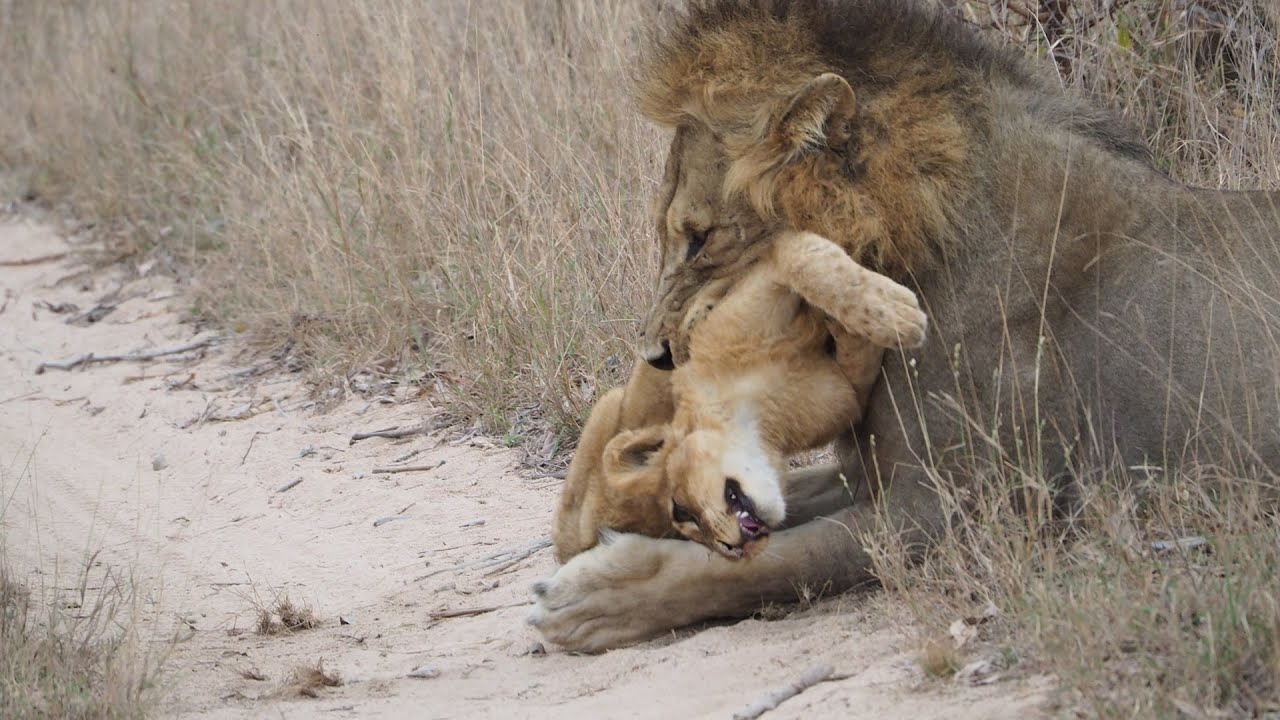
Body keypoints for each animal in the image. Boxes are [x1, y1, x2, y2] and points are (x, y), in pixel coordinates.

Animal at [552, 229, 926, 564]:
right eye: (685, 527)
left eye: (681, 510)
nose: (731, 551)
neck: (753, 412)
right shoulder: (846, 393)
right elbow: (855, 358)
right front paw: (860, 323)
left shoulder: (762, 273)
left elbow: (797, 252)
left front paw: (893, 315)